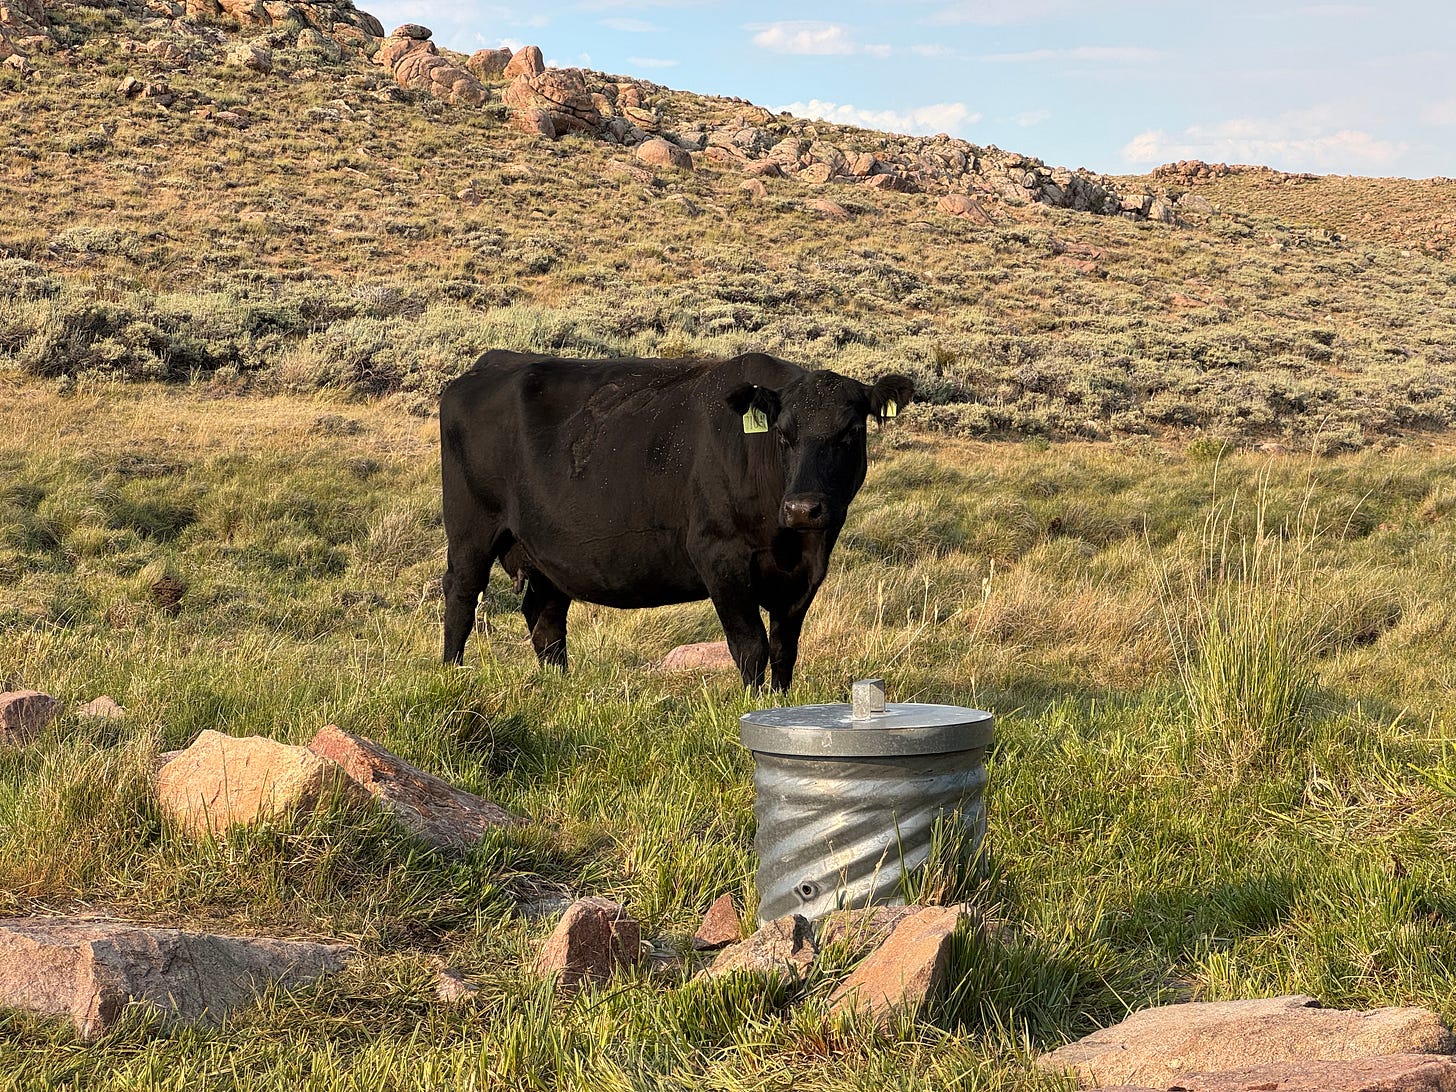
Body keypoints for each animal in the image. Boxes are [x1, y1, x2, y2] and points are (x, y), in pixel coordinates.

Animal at [439, 349, 914, 690]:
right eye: (783, 434)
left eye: (851, 431)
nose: (803, 508)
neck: (791, 542)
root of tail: (490, 364)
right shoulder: (718, 556)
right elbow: (751, 646)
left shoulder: (804, 575)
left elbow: (784, 650)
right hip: (471, 530)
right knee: (461, 595)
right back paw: (450, 675)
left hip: (549, 552)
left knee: (546, 620)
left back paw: (559, 686)